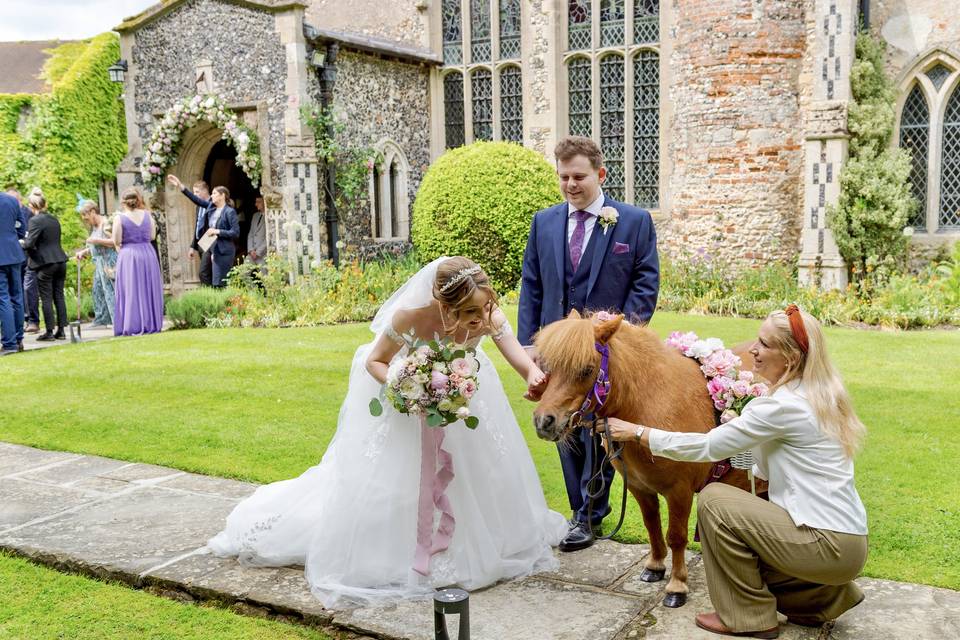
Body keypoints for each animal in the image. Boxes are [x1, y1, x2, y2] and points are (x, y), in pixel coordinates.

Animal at [532, 312, 756, 608]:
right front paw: (656, 566)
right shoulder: (640, 488)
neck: (650, 404)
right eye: (548, 366)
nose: (544, 421)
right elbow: (652, 526)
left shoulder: (680, 492)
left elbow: (676, 536)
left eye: (586, 369)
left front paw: (677, 585)